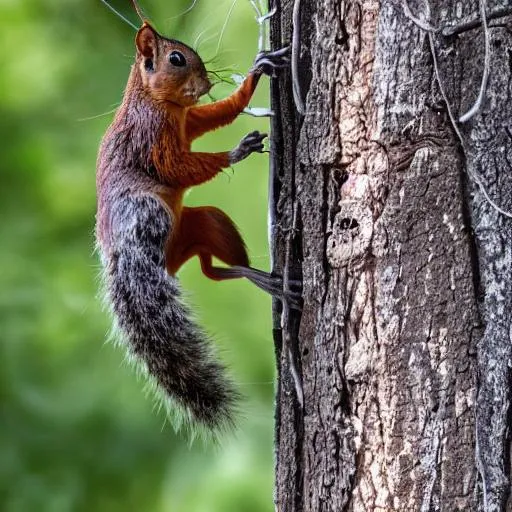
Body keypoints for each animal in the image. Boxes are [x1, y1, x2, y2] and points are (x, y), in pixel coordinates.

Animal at [95, 2, 300, 432]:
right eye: (176, 59)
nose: (205, 82)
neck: (156, 100)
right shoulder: (153, 137)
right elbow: (178, 169)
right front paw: (237, 151)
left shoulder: (189, 121)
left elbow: (216, 115)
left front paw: (259, 70)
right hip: (149, 213)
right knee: (197, 263)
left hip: (206, 220)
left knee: (211, 269)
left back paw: (270, 279)